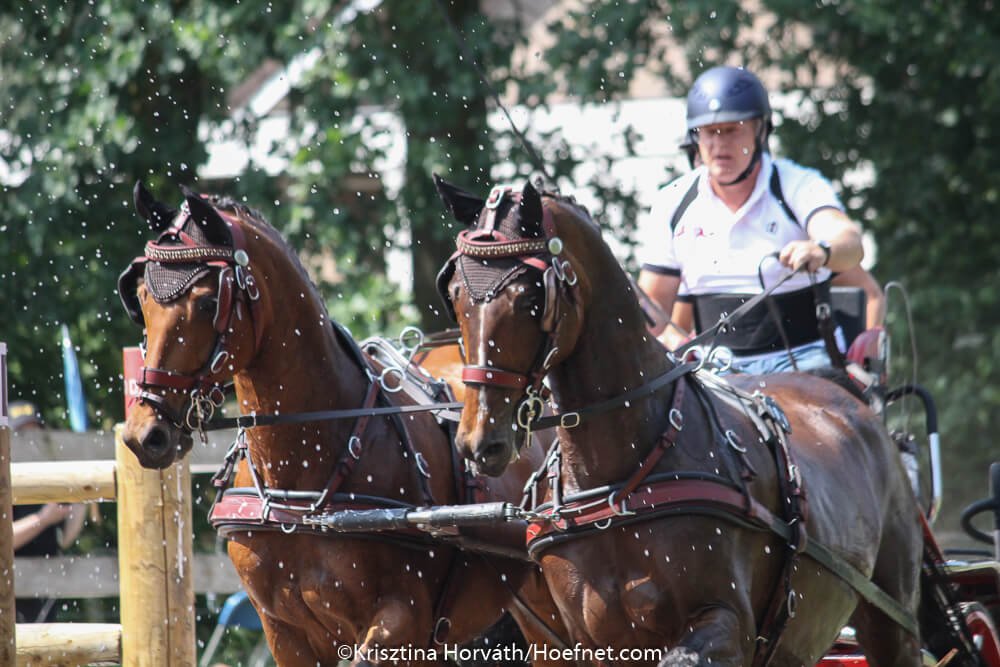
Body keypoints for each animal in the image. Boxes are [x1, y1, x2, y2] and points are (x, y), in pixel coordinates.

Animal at [118, 184, 572, 667]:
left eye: (207, 302)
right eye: (142, 297)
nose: (145, 433)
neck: (303, 487)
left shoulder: (400, 622)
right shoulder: (283, 632)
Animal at [434, 179, 924, 667]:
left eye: (530, 298)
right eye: (455, 293)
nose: (479, 440)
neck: (617, 484)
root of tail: (852, 400)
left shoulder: (730, 625)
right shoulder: (577, 640)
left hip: (892, 622)